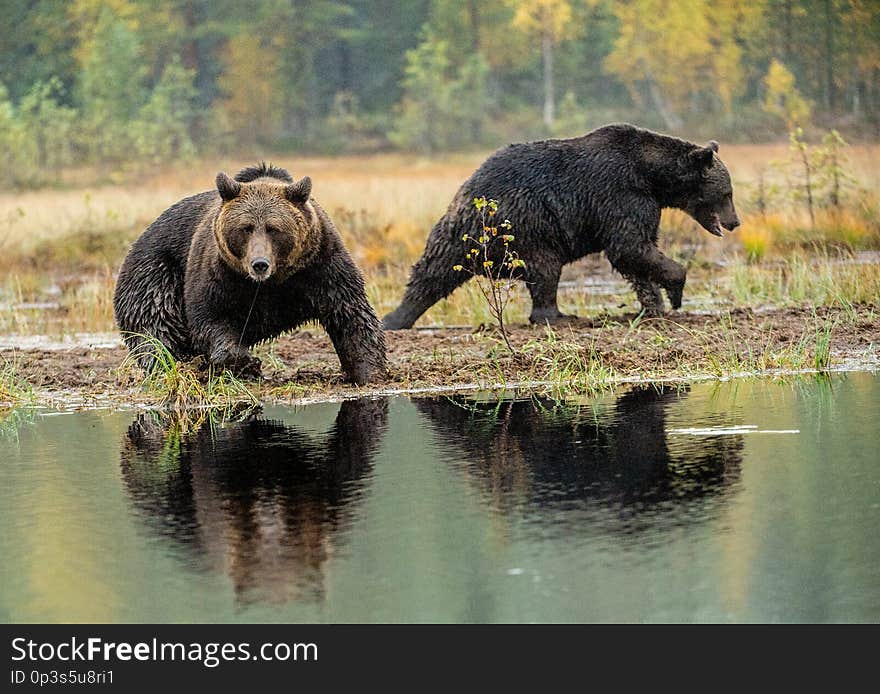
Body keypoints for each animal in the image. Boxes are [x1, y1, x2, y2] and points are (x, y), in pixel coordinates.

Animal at [112, 164, 384, 386]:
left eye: (274, 228)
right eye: (245, 228)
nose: (259, 264)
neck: (271, 282)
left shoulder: (319, 266)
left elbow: (349, 313)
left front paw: (370, 372)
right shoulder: (219, 275)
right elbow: (211, 318)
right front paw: (247, 363)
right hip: (155, 271)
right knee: (157, 326)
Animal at [384, 123, 744, 330]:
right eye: (727, 193)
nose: (735, 221)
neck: (652, 176)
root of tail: (476, 206)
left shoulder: (639, 204)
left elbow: (638, 254)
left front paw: (653, 305)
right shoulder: (621, 195)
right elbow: (630, 247)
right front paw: (676, 292)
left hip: (455, 230)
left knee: (433, 270)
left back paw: (396, 317)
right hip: (527, 224)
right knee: (545, 270)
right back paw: (558, 315)